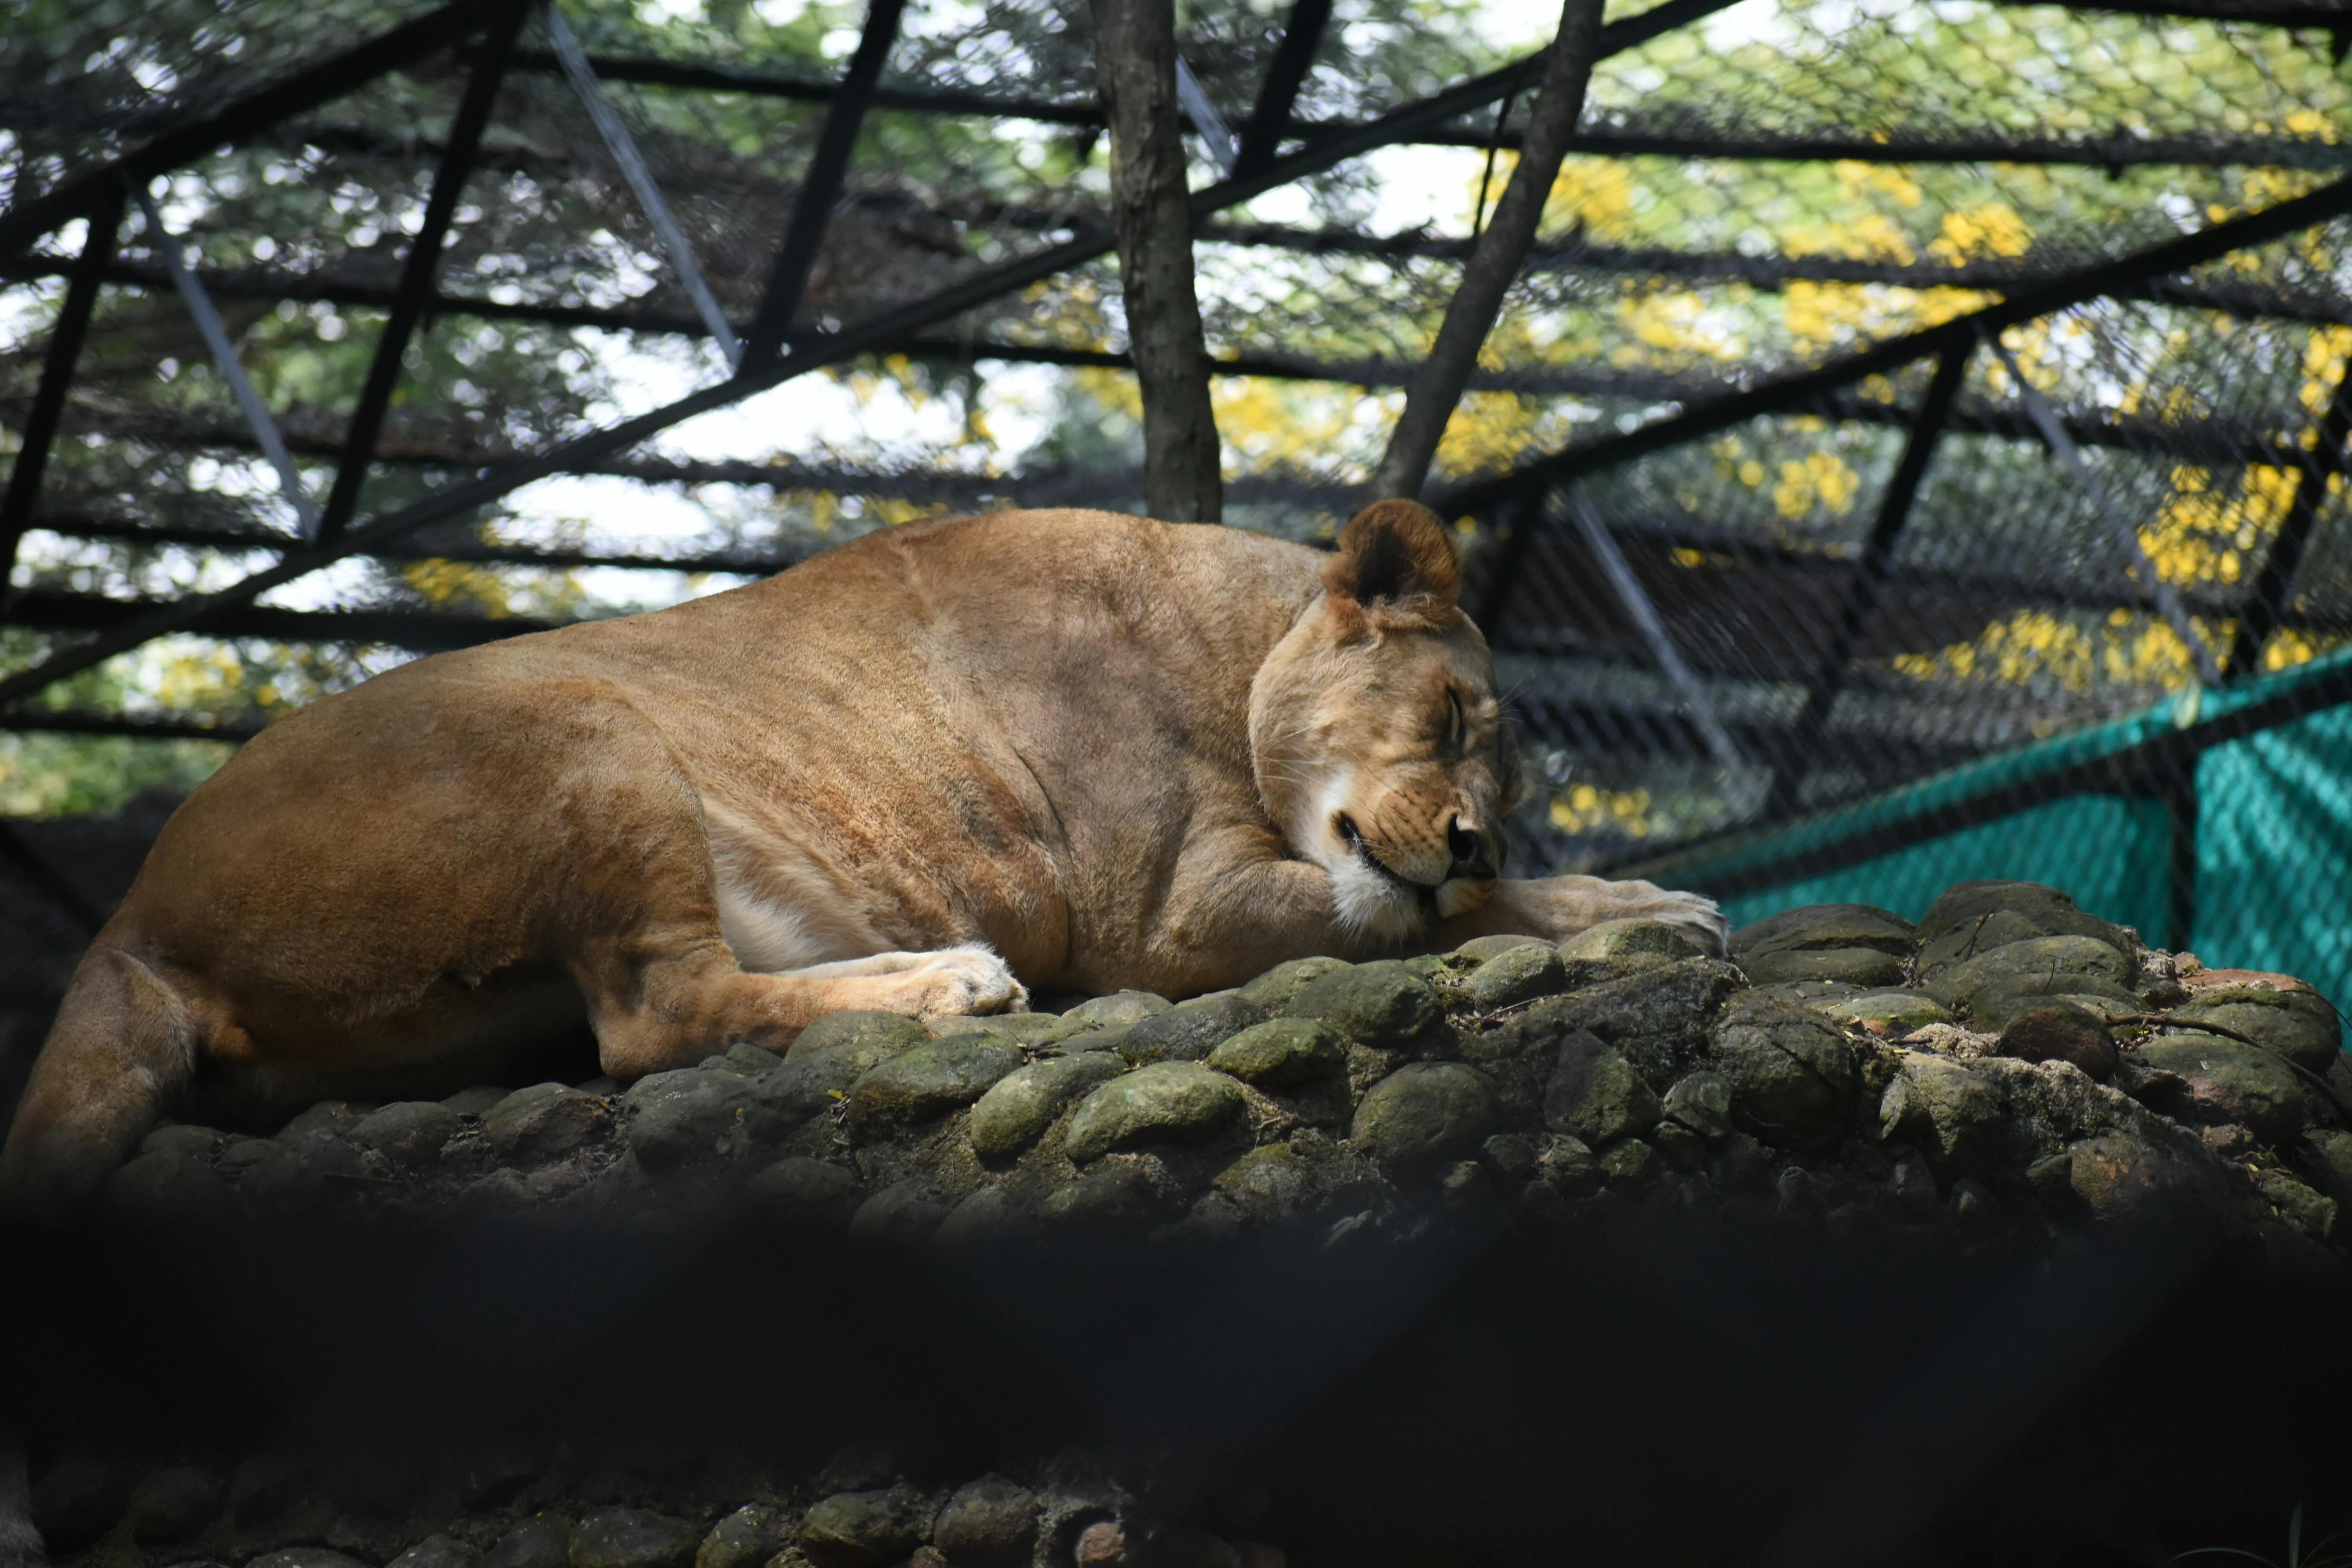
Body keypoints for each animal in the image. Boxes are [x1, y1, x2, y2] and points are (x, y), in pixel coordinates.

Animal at [0, 499, 1723, 1212]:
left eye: (1505, 761)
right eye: (1452, 714)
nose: (1470, 827)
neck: (1232, 642)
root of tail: (129, 920)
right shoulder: (1169, 917)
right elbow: (1440, 915)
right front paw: (1643, 901)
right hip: (569, 720)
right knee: (658, 1017)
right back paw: (951, 984)